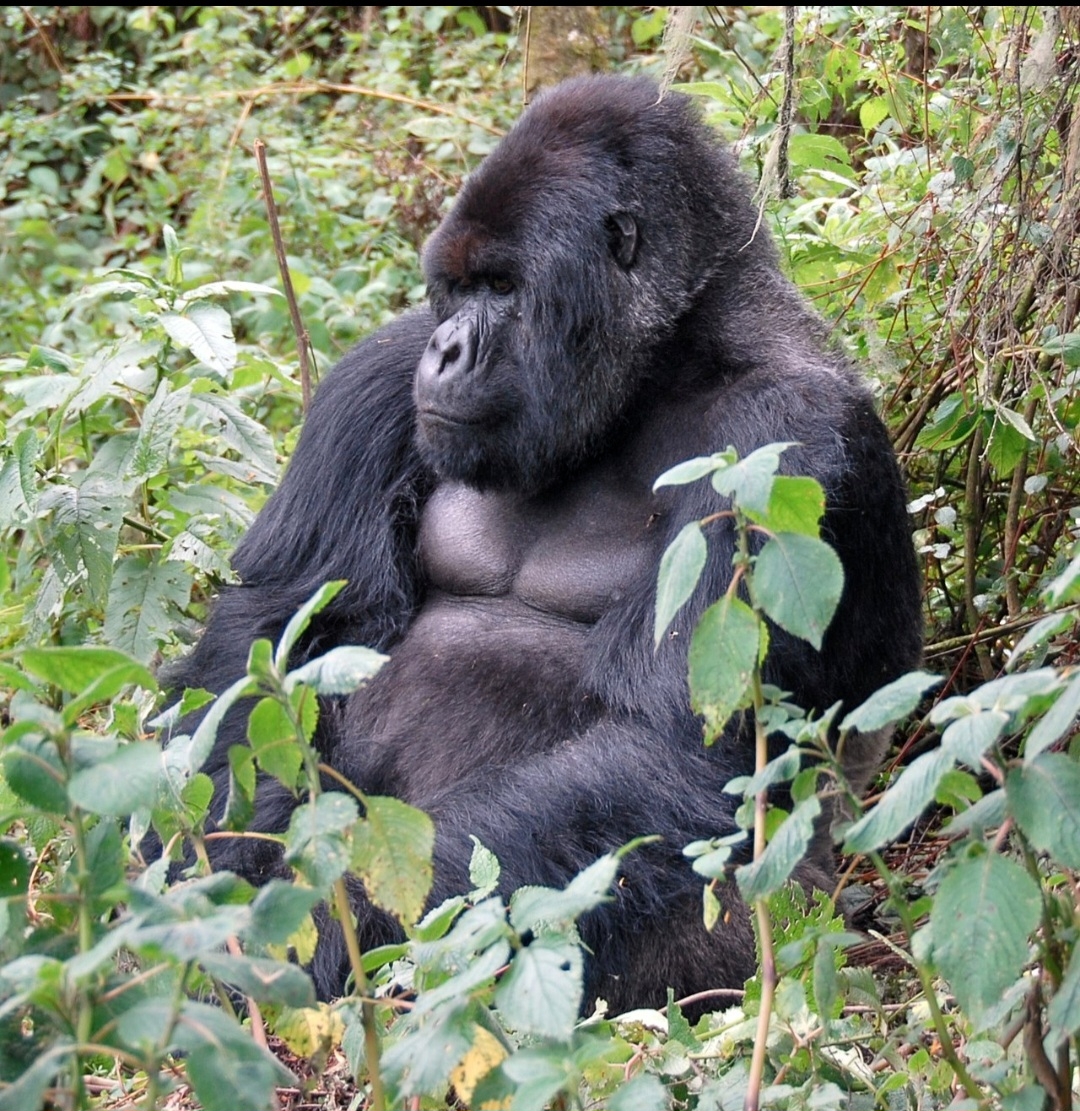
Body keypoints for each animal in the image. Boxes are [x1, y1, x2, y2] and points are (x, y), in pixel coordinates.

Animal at [166, 73, 920, 1013]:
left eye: (501, 286)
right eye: (454, 290)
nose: (445, 351)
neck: (661, 367)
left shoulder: (789, 440)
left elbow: (675, 744)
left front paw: (323, 929)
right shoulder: (377, 374)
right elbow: (266, 638)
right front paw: (214, 885)